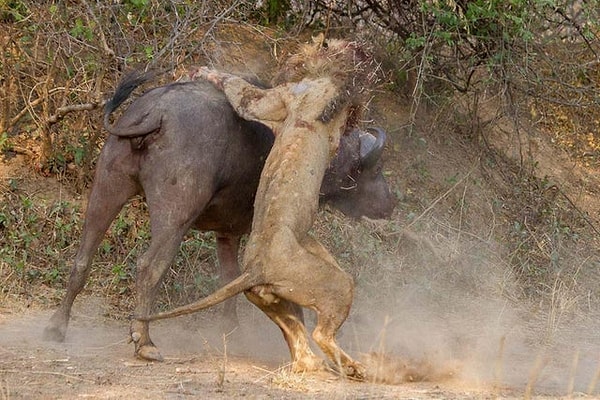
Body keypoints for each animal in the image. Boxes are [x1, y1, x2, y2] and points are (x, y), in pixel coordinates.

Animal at [44, 72, 396, 362]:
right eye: (374, 169)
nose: (392, 201)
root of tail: (157, 110)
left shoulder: (228, 234)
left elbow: (230, 280)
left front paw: (232, 332)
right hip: (174, 216)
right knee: (149, 267)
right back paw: (143, 341)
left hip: (107, 188)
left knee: (82, 259)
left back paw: (57, 327)